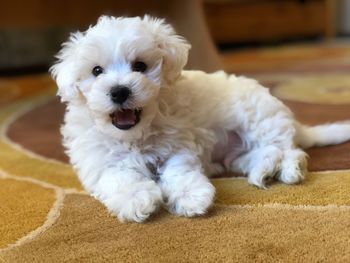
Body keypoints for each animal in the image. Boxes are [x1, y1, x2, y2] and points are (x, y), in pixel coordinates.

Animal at [50, 16, 350, 223]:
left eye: (140, 66)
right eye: (96, 71)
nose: (119, 91)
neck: (136, 135)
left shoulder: (178, 145)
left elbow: (179, 171)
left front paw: (190, 196)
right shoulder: (99, 163)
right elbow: (121, 177)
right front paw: (137, 199)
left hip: (259, 120)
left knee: (289, 150)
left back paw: (289, 170)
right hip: (238, 152)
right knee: (261, 154)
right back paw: (262, 170)